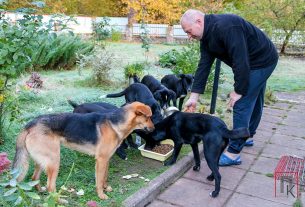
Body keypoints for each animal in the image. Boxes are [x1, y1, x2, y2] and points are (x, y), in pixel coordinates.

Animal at [12, 101, 153, 200]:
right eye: (148, 117)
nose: (154, 128)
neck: (115, 123)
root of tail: (30, 124)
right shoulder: (101, 160)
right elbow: (99, 180)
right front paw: (101, 195)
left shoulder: (106, 159)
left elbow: (104, 177)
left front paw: (106, 188)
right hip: (54, 161)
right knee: (50, 187)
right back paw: (60, 201)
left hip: (43, 161)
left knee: (34, 177)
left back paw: (40, 190)